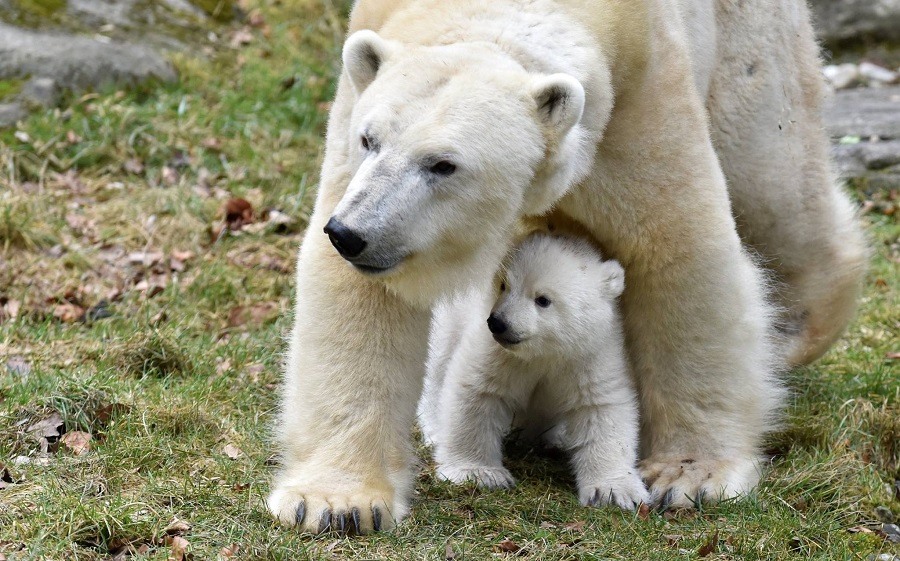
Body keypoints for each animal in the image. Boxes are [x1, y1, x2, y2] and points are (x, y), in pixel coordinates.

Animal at [422, 232, 648, 508]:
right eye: (504, 285)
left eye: (543, 299)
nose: (498, 323)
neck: (544, 351)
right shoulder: (499, 354)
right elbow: (477, 391)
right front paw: (480, 473)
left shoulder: (589, 354)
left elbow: (601, 408)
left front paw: (614, 491)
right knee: (438, 364)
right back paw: (434, 430)